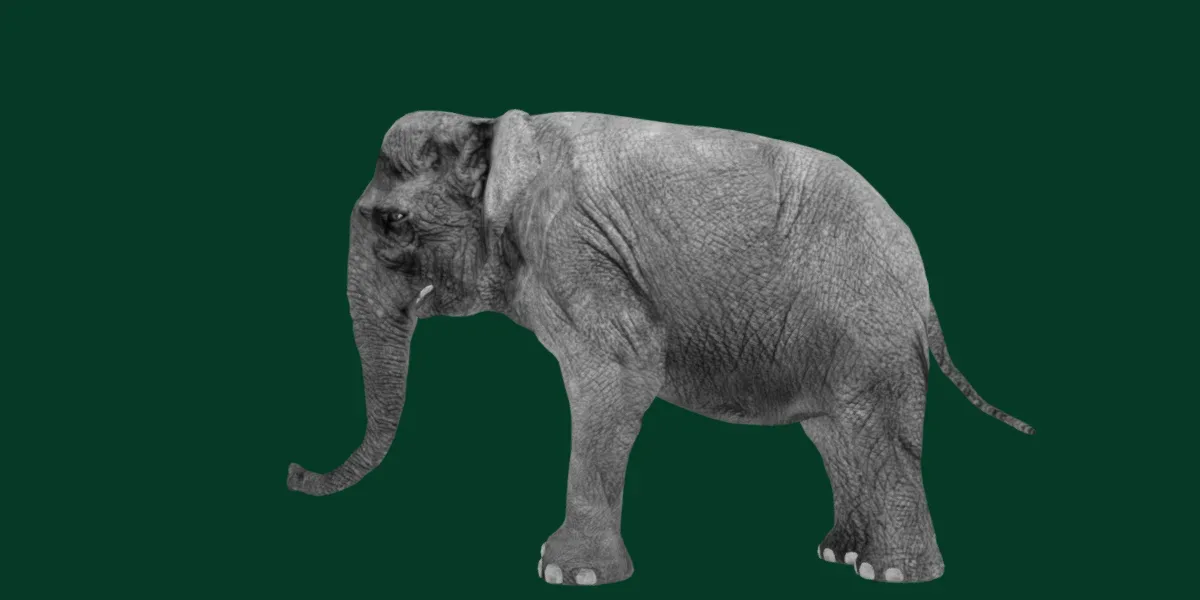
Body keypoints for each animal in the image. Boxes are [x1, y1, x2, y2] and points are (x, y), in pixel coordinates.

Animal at [286, 109, 1035, 585]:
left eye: (393, 222)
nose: (292, 473)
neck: (496, 133)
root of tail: (921, 278)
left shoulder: (576, 246)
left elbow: (622, 373)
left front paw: (567, 572)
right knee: (837, 435)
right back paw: (840, 556)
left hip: (868, 323)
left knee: (875, 431)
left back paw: (892, 573)